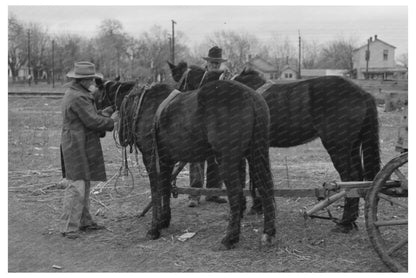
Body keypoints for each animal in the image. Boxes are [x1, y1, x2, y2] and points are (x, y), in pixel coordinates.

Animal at [95, 76, 274, 248]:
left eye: (96, 95)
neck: (142, 104)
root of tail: (251, 96)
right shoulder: (166, 160)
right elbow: (165, 188)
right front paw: (164, 220)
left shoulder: (151, 159)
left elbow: (156, 191)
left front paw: (154, 229)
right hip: (254, 154)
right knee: (265, 187)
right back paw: (268, 233)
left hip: (227, 159)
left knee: (237, 193)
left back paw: (230, 238)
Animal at [168, 64, 380, 230]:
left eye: (181, 80)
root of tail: (362, 93)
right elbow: (253, 178)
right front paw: (256, 207)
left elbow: (250, 177)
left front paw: (250, 207)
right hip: (352, 147)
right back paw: (350, 220)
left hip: (338, 147)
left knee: (350, 178)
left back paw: (345, 223)